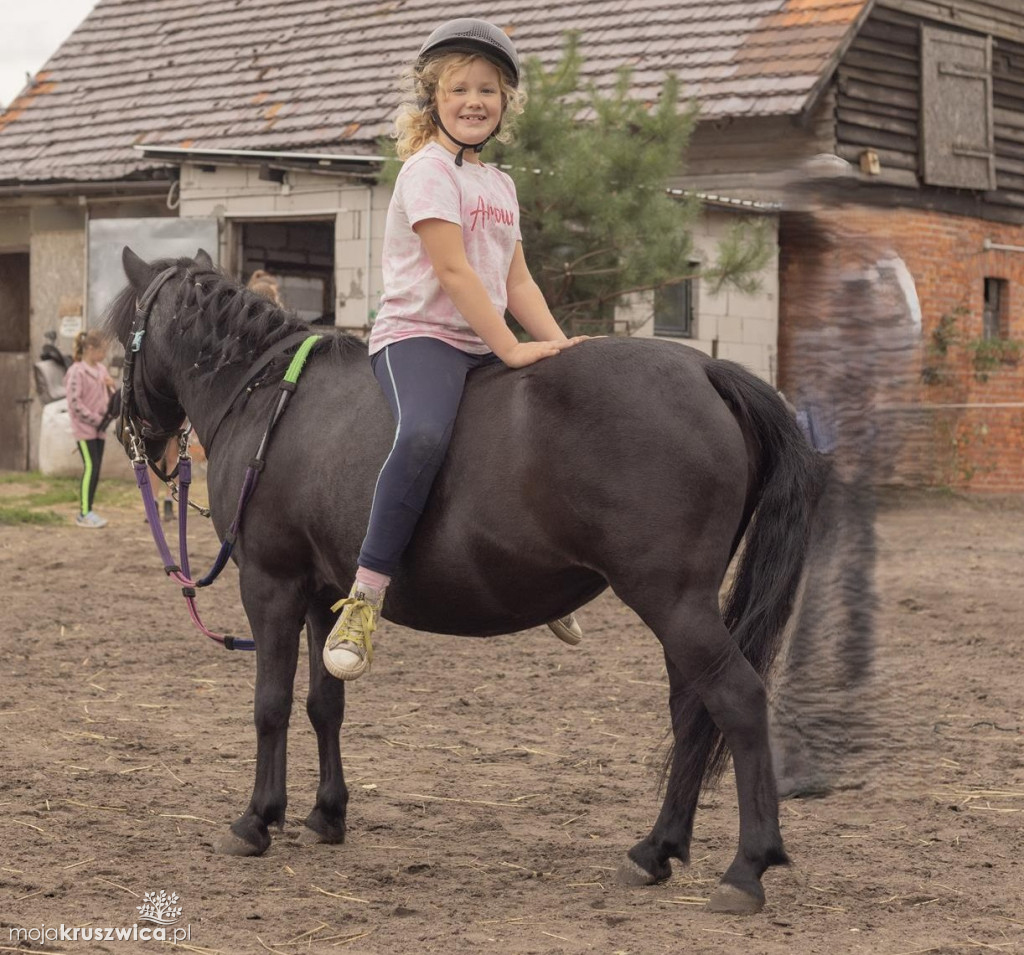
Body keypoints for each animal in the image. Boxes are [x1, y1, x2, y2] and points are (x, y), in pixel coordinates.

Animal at [105, 247, 823, 917]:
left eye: (119, 339)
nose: (131, 431)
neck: (269, 400)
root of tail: (705, 369)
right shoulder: (320, 593)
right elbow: (324, 703)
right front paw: (326, 814)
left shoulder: (271, 584)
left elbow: (270, 705)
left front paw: (257, 819)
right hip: (679, 610)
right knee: (690, 709)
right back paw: (656, 850)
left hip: (672, 602)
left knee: (737, 700)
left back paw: (746, 868)